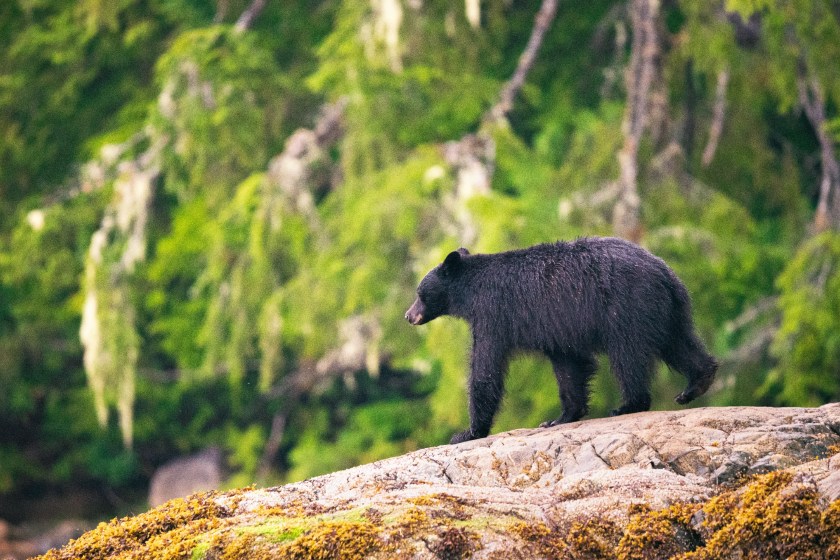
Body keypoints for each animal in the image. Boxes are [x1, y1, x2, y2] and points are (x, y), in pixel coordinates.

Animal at [405, 237, 718, 444]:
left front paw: (467, 432)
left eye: (420, 293)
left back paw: (629, 404)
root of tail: (664, 271)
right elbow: (569, 366)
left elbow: (485, 368)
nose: (408, 316)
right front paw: (560, 417)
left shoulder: (493, 313)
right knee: (679, 344)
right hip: (667, 309)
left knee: (628, 356)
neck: (470, 291)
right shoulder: (557, 329)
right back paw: (696, 383)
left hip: (627, 307)